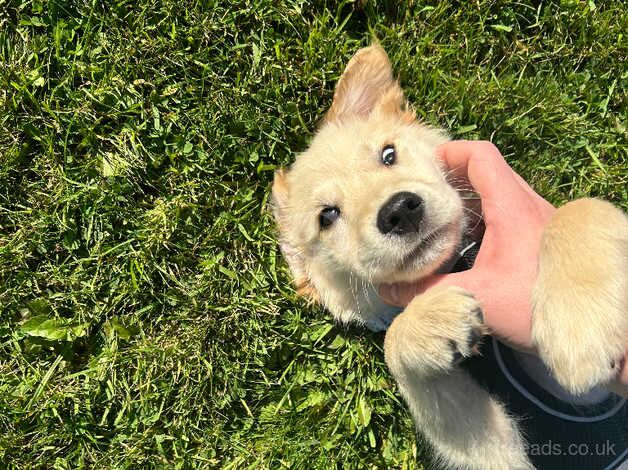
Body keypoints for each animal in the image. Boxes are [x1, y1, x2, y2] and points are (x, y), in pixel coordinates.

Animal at [272, 45, 628, 470]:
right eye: (327, 216)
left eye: (388, 155)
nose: (400, 210)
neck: (461, 263)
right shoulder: (503, 448)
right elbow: (392, 344)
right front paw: (430, 322)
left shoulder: (588, 397)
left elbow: (577, 208)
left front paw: (579, 332)